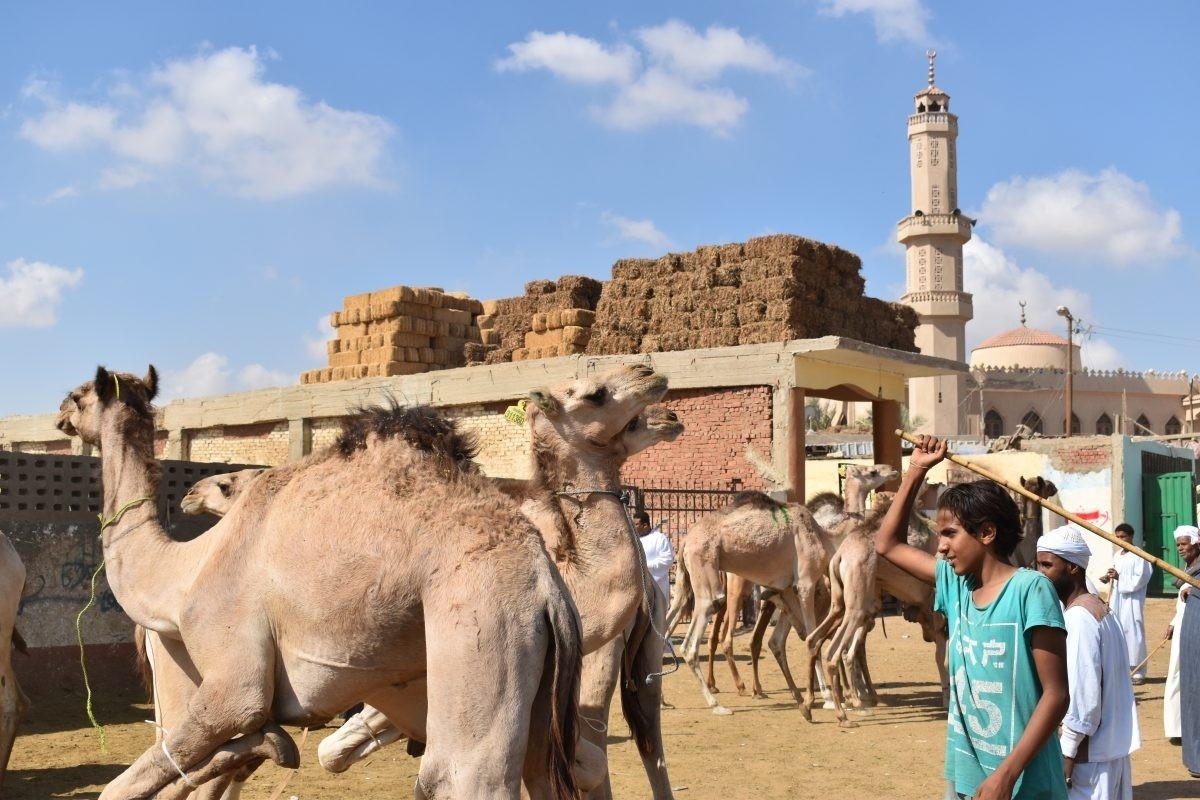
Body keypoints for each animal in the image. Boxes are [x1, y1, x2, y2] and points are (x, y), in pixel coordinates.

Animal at [57, 365, 585, 799]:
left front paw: (270, 745)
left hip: (481, 621)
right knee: (542, 773)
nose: (60, 414)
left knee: (463, 776)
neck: (186, 570)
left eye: (78, 395)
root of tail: (547, 588)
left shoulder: (231, 669)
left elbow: (129, 784)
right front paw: (273, 746)